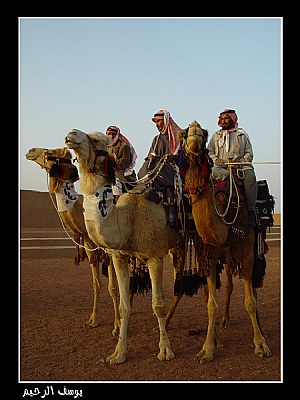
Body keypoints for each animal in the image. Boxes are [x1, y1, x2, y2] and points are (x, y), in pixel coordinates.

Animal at [24, 147, 120, 334]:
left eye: (50, 152)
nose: (30, 151)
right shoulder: (90, 246)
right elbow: (96, 284)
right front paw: (93, 321)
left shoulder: (110, 251)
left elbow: (113, 288)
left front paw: (117, 327)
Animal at [64, 129, 178, 366]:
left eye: (97, 140)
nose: (71, 134)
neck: (128, 218)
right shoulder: (119, 257)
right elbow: (125, 305)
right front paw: (118, 353)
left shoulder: (154, 257)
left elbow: (157, 305)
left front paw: (165, 350)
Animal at [176, 119, 272, 362]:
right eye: (183, 134)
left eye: (204, 132)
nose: (194, 129)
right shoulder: (209, 256)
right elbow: (211, 304)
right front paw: (207, 349)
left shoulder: (246, 252)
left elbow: (250, 301)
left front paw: (260, 345)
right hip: (228, 258)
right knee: (229, 284)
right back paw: (225, 320)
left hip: (252, 250)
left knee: (254, 287)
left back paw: (262, 329)